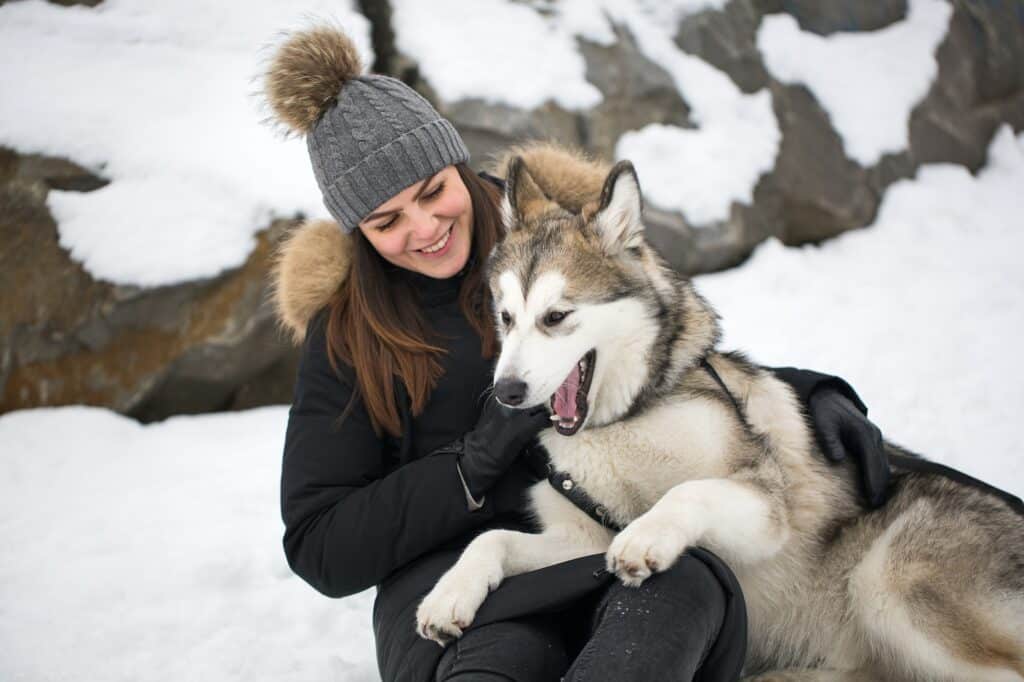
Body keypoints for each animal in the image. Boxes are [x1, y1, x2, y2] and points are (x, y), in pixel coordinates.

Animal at [415, 144, 1024, 679]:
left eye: (557, 316)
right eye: (506, 316)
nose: (507, 393)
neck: (623, 423)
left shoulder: (763, 505)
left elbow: (689, 492)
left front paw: (647, 537)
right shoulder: (581, 540)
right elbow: (489, 538)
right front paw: (450, 594)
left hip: (888, 586)